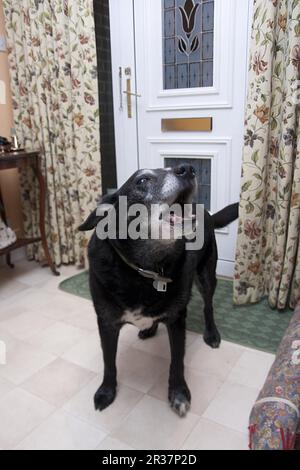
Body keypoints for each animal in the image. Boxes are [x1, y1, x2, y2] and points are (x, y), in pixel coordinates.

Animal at [78, 165, 238, 414]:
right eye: (142, 180)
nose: (188, 168)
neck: (145, 270)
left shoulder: (177, 319)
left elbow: (177, 361)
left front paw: (179, 393)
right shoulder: (106, 322)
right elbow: (108, 361)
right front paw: (106, 391)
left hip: (206, 275)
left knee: (208, 307)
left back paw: (211, 333)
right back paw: (149, 329)